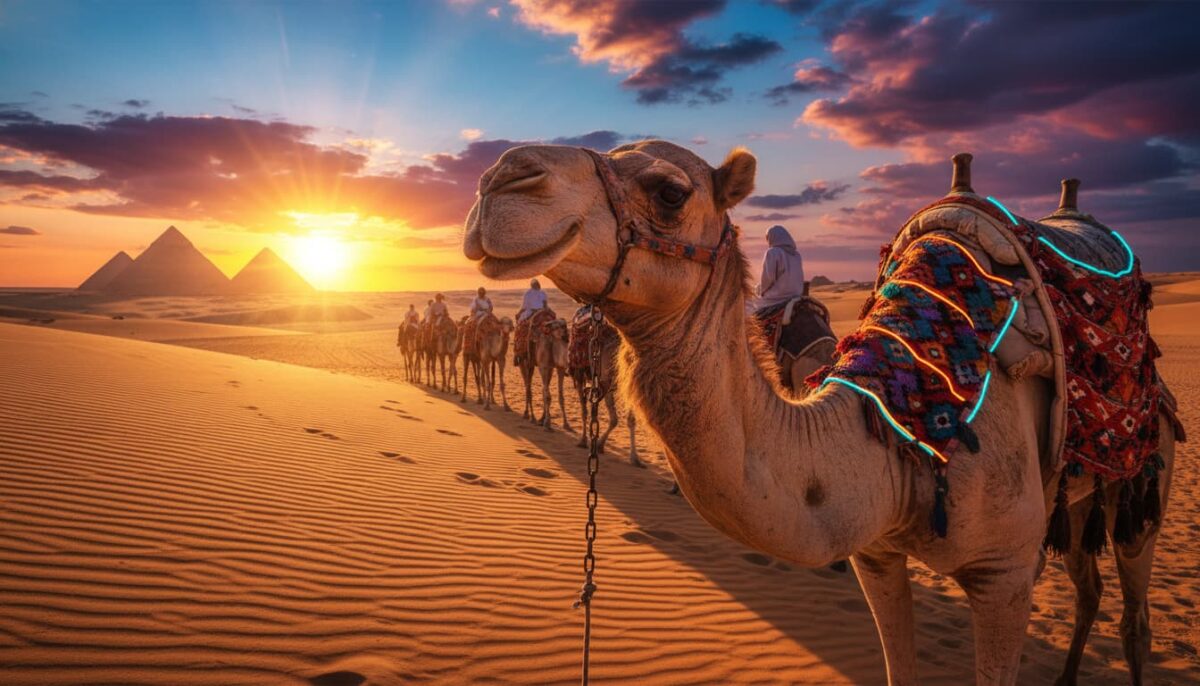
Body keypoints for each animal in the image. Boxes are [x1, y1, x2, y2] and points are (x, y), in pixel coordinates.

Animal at [463, 140, 1177, 686]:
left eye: (669, 192)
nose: (502, 177)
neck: (906, 428)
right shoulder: (878, 556)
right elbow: (898, 669)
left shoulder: (1005, 574)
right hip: (1079, 500)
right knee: (1090, 589)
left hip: (1147, 477)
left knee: (1134, 618)